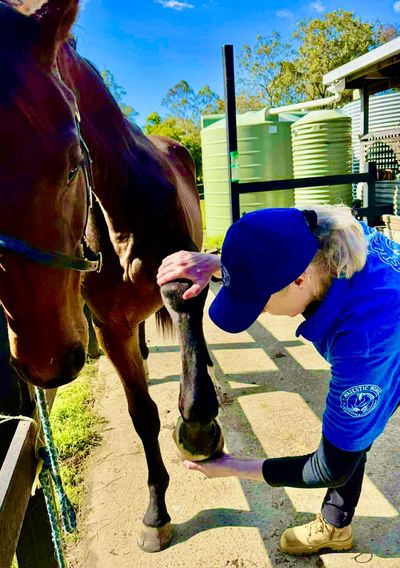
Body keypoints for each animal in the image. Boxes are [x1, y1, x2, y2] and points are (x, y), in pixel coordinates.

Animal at [0, 0, 223, 552]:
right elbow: (142, 415)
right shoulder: (107, 325)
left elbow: (192, 388)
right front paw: (156, 512)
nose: (45, 362)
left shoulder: (183, 282)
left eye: (72, 160)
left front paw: (200, 432)